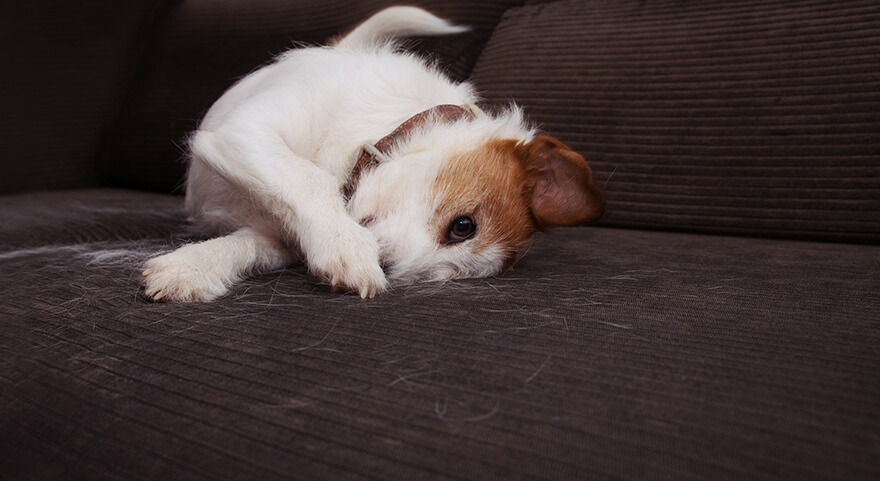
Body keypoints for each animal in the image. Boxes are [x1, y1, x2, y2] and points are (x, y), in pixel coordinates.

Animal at [143, 6, 604, 300]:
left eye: (439, 273)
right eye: (464, 226)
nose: (387, 267)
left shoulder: (280, 238)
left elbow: (249, 244)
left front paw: (191, 266)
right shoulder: (243, 133)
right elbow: (308, 180)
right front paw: (346, 244)